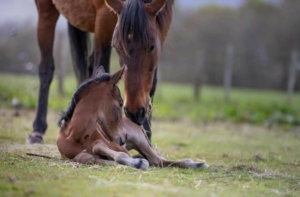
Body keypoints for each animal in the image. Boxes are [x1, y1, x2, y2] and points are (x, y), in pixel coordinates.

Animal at [29, 0, 175, 143]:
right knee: (46, 68)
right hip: (46, 10)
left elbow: (152, 84)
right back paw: (38, 131)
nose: (134, 111)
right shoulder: (103, 19)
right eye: (118, 47)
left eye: (152, 47)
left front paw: (146, 135)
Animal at [56, 66, 209, 171]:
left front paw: (136, 162)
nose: (124, 136)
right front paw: (136, 163)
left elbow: (101, 147)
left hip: (140, 140)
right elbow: (86, 157)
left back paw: (198, 164)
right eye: (120, 103)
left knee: (157, 160)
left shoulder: (118, 147)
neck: (76, 136)